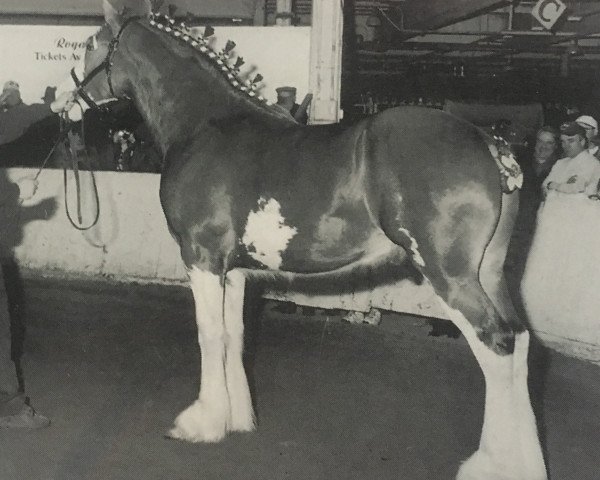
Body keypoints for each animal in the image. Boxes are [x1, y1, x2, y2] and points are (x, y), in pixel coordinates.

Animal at [76, 1, 548, 478]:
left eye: (90, 43)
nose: (71, 100)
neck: (206, 125)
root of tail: (487, 141)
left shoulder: (201, 257)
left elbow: (209, 334)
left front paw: (201, 423)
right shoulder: (235, 270)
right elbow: (234, 334)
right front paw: (236, 417)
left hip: (449, 276)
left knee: (496, 343)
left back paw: (490, 463)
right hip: (489, 272)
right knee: (520, 340)